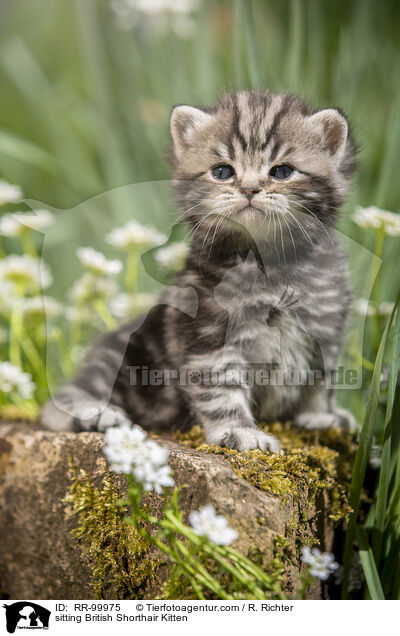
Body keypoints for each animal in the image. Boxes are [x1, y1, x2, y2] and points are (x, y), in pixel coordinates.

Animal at [42, 90, 358, 452]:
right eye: (222, 171)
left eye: (282, 171)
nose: (249, 189)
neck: (273, 266)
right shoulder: (209, 334)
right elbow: (221, 389)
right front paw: (240, 431)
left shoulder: (326, 329)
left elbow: (321, 381)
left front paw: (321, 415)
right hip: (118, 361)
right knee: (60, 401)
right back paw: (95, 413)